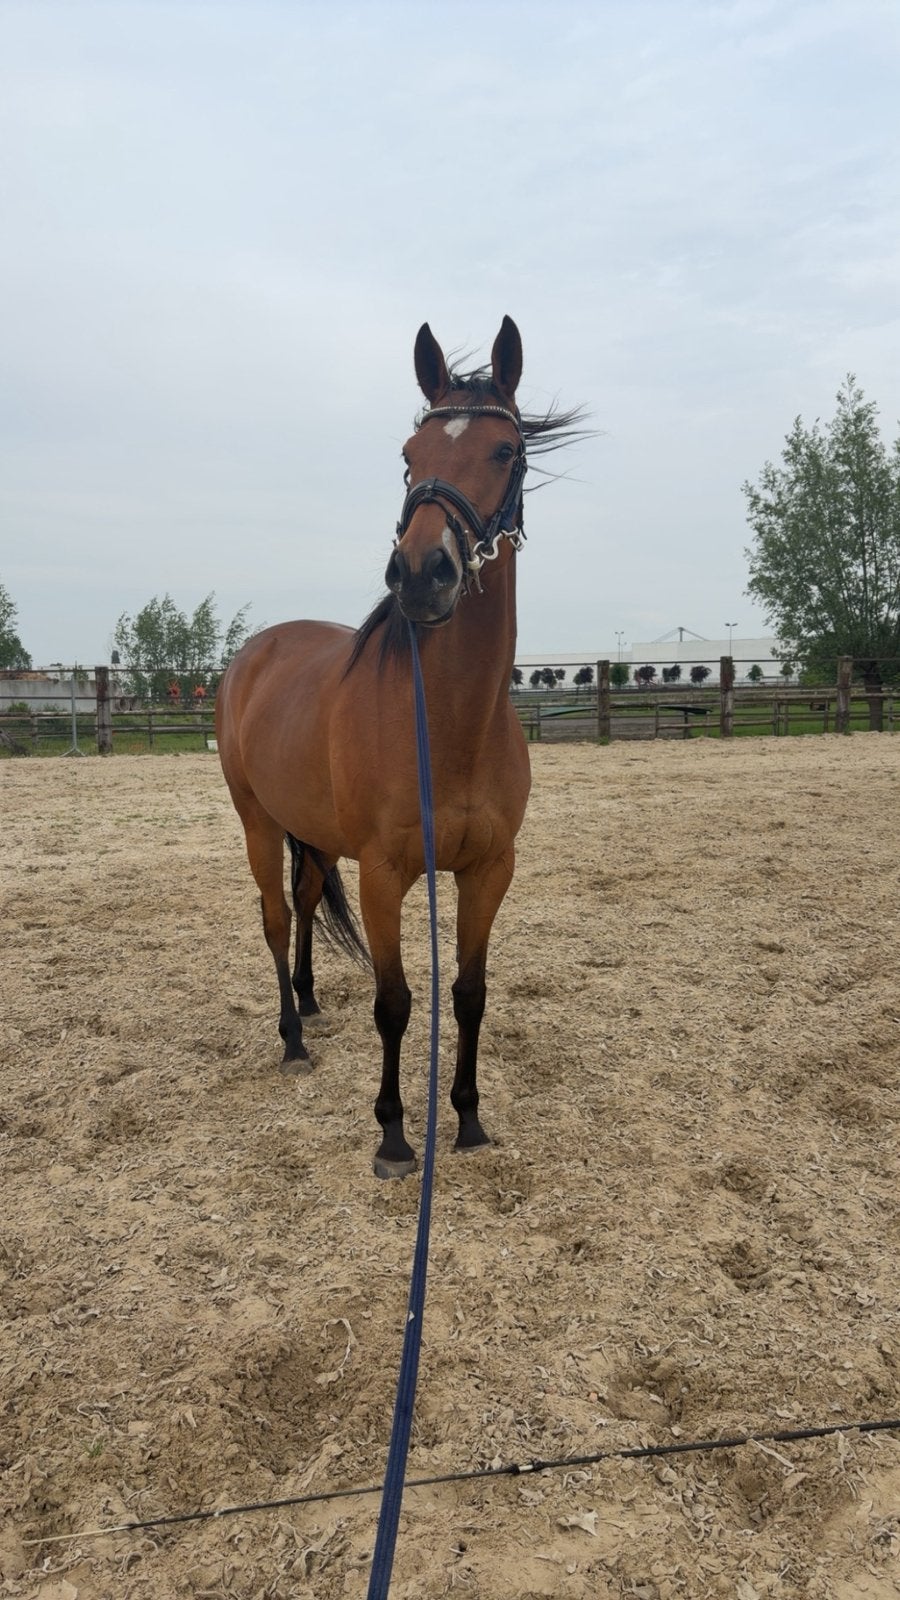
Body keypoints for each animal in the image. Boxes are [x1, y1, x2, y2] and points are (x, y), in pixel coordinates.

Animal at [216, 316, 581, 1177]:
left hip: (312, 834)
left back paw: (311, 1001)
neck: (450, 723)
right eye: (410, 458)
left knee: (305, 901)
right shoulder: (385, 875)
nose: (421, 572)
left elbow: (468, 994)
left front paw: (469, 1118)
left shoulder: (488, 871)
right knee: (275, 916)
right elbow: (396, 1002)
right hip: (257, 822)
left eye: (505, 451)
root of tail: (255, 652)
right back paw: (291, 1037)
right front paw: (392, 1135)